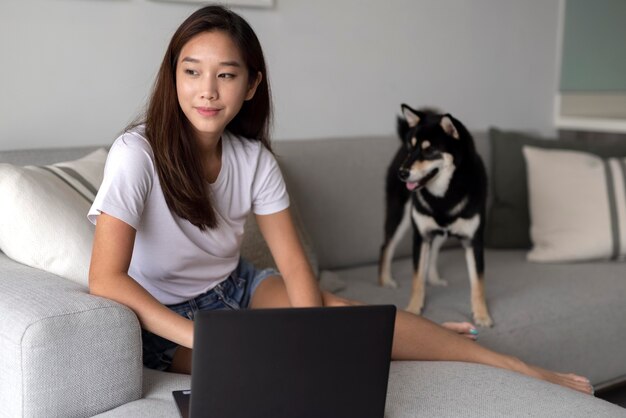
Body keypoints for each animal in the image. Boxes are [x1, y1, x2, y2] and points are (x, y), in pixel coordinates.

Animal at [376, 103, 492, 326]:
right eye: (411, 148)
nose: (402, 173)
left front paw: (482, 315)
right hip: (399, 216)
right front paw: (414, 309)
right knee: (386, 246)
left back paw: (434, 278)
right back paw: (385, 280)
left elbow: (479, 282)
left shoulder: (473, 240)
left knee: (435, 249)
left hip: (439, 230)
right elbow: (416, 278)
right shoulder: (420, 236)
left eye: (429, 150)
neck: (443, 196)